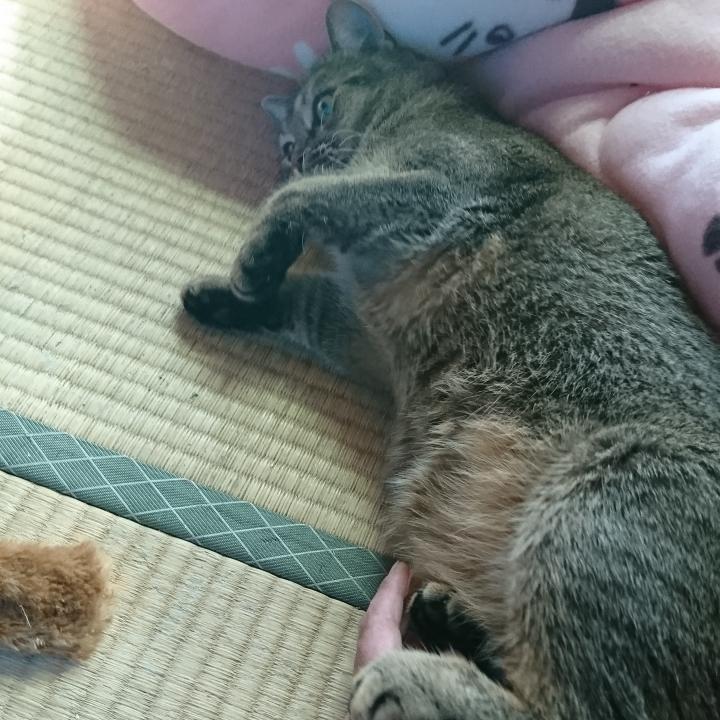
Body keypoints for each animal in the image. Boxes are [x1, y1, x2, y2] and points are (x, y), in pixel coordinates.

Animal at [181, 1, 720, 718]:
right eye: (287, 147)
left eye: (323, 107)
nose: (300, 154)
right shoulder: (362, 330)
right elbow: (298, 298)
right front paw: (224, 294)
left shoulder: (436, 192)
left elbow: (315, 198)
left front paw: (259, 254)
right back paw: (448, 617)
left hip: (597, 509)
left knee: (580, 709)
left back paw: (405, 676)